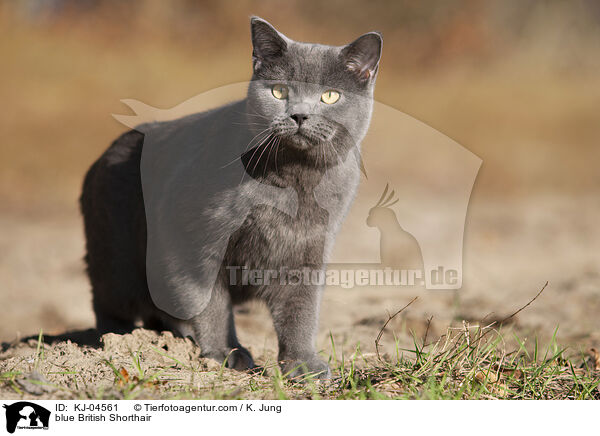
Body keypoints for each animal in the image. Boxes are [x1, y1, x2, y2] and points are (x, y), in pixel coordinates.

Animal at [79, 17, 382, 378]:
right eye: (279, 91)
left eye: (330, 96)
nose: (299, 115)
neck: (292, 182)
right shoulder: (194, 244)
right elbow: (211, 304)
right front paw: (226, 354)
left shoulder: (307, 251)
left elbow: (301, 311)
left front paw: (303, 364)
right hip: (117, 260)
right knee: (109, 302)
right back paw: (117, 341)